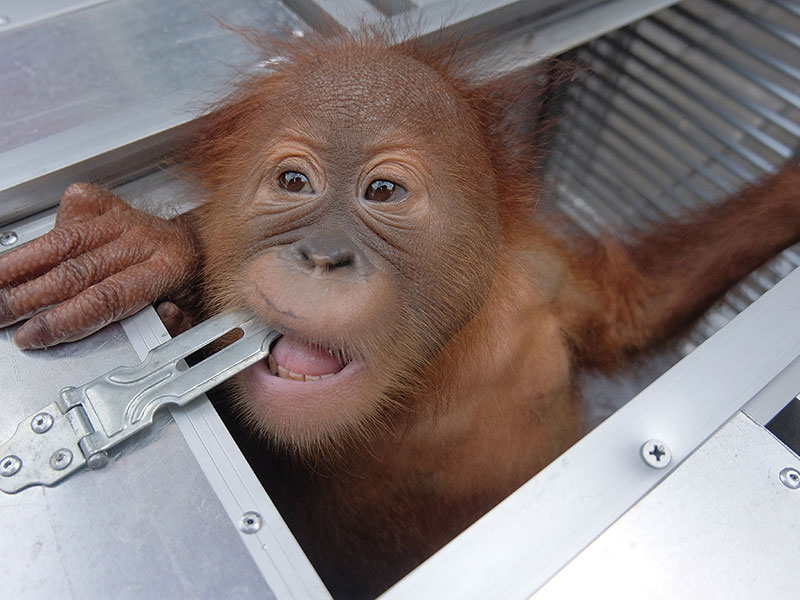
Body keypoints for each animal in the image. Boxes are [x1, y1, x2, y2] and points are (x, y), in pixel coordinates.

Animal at [1, 30, 799, 599]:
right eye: (294, 181)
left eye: (383, 192)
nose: (322, 256)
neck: (417, 382)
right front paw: (143, 251)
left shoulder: (543, 278)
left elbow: (634, 310)